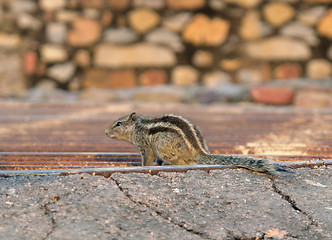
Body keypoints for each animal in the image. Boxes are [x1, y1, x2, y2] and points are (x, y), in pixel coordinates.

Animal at [105, 112, 290, 176]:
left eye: (119, 124)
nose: (105, 133)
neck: (138, 127)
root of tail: (200, 151)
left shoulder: (145, 147)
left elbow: (146, 160)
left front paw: (142, 166)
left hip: (165, 148)